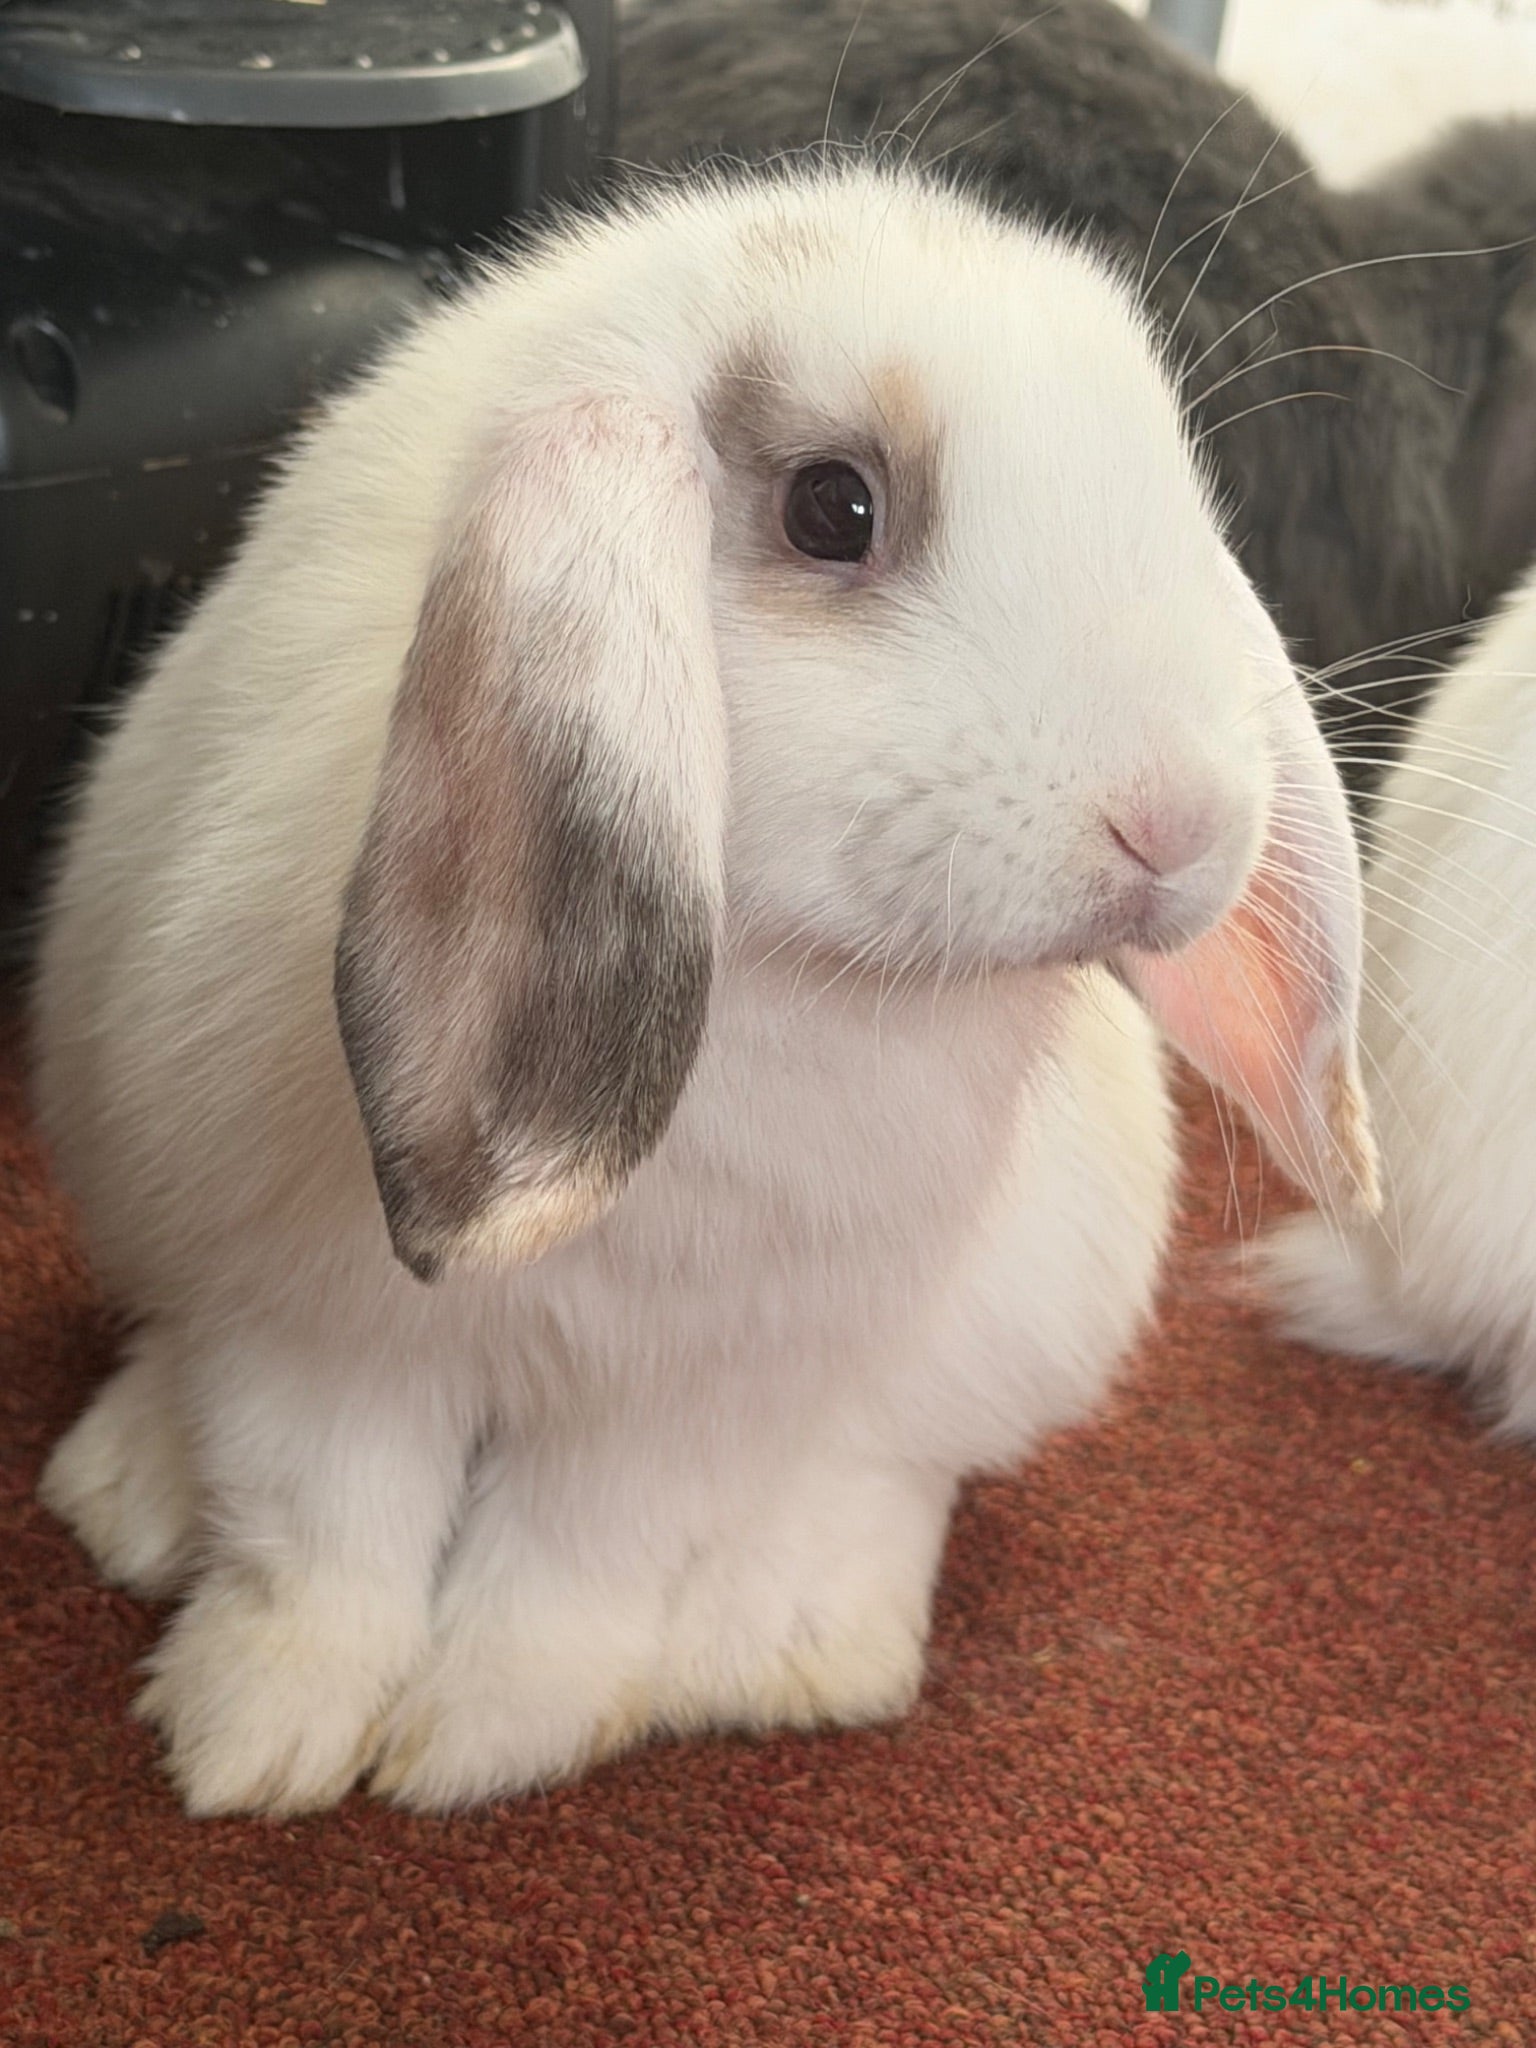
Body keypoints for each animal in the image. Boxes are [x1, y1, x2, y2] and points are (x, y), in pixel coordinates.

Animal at [32, 158, 1375, 1817]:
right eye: (833, 507)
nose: (1181, 821)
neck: (780, 996)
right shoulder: (310, 1341)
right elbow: (320, 1541)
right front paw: (255, 1744)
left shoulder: (690, 1403)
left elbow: (572, 1568)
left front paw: (483, 1739)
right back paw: (125, 1494)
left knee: (883, 1483)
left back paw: (791, 1650)